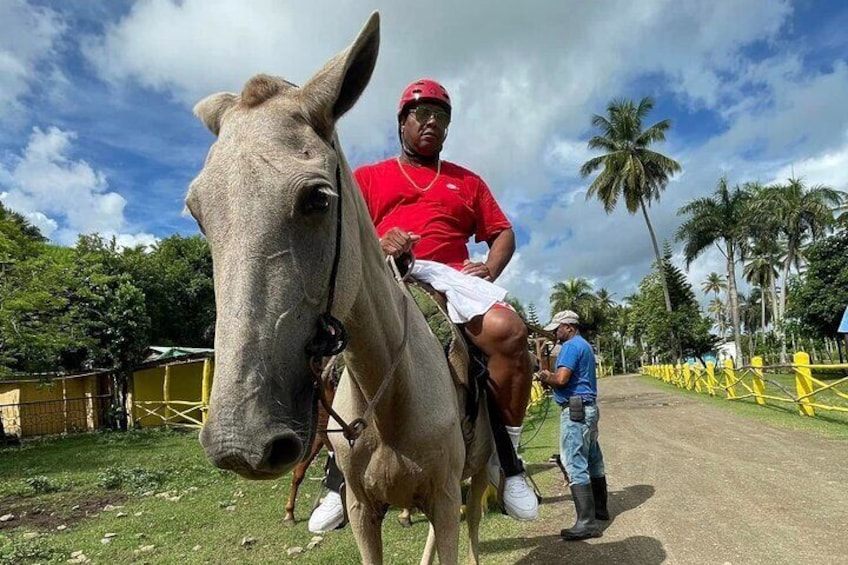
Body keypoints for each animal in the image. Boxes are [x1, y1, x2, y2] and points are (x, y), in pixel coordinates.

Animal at [186, 11, 490, 560]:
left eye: (317, 199)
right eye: (197, 212)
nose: (239, 442)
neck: (392, 400)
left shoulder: (443, 494)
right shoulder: (364, 511)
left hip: (477, 474)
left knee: (474, 519)